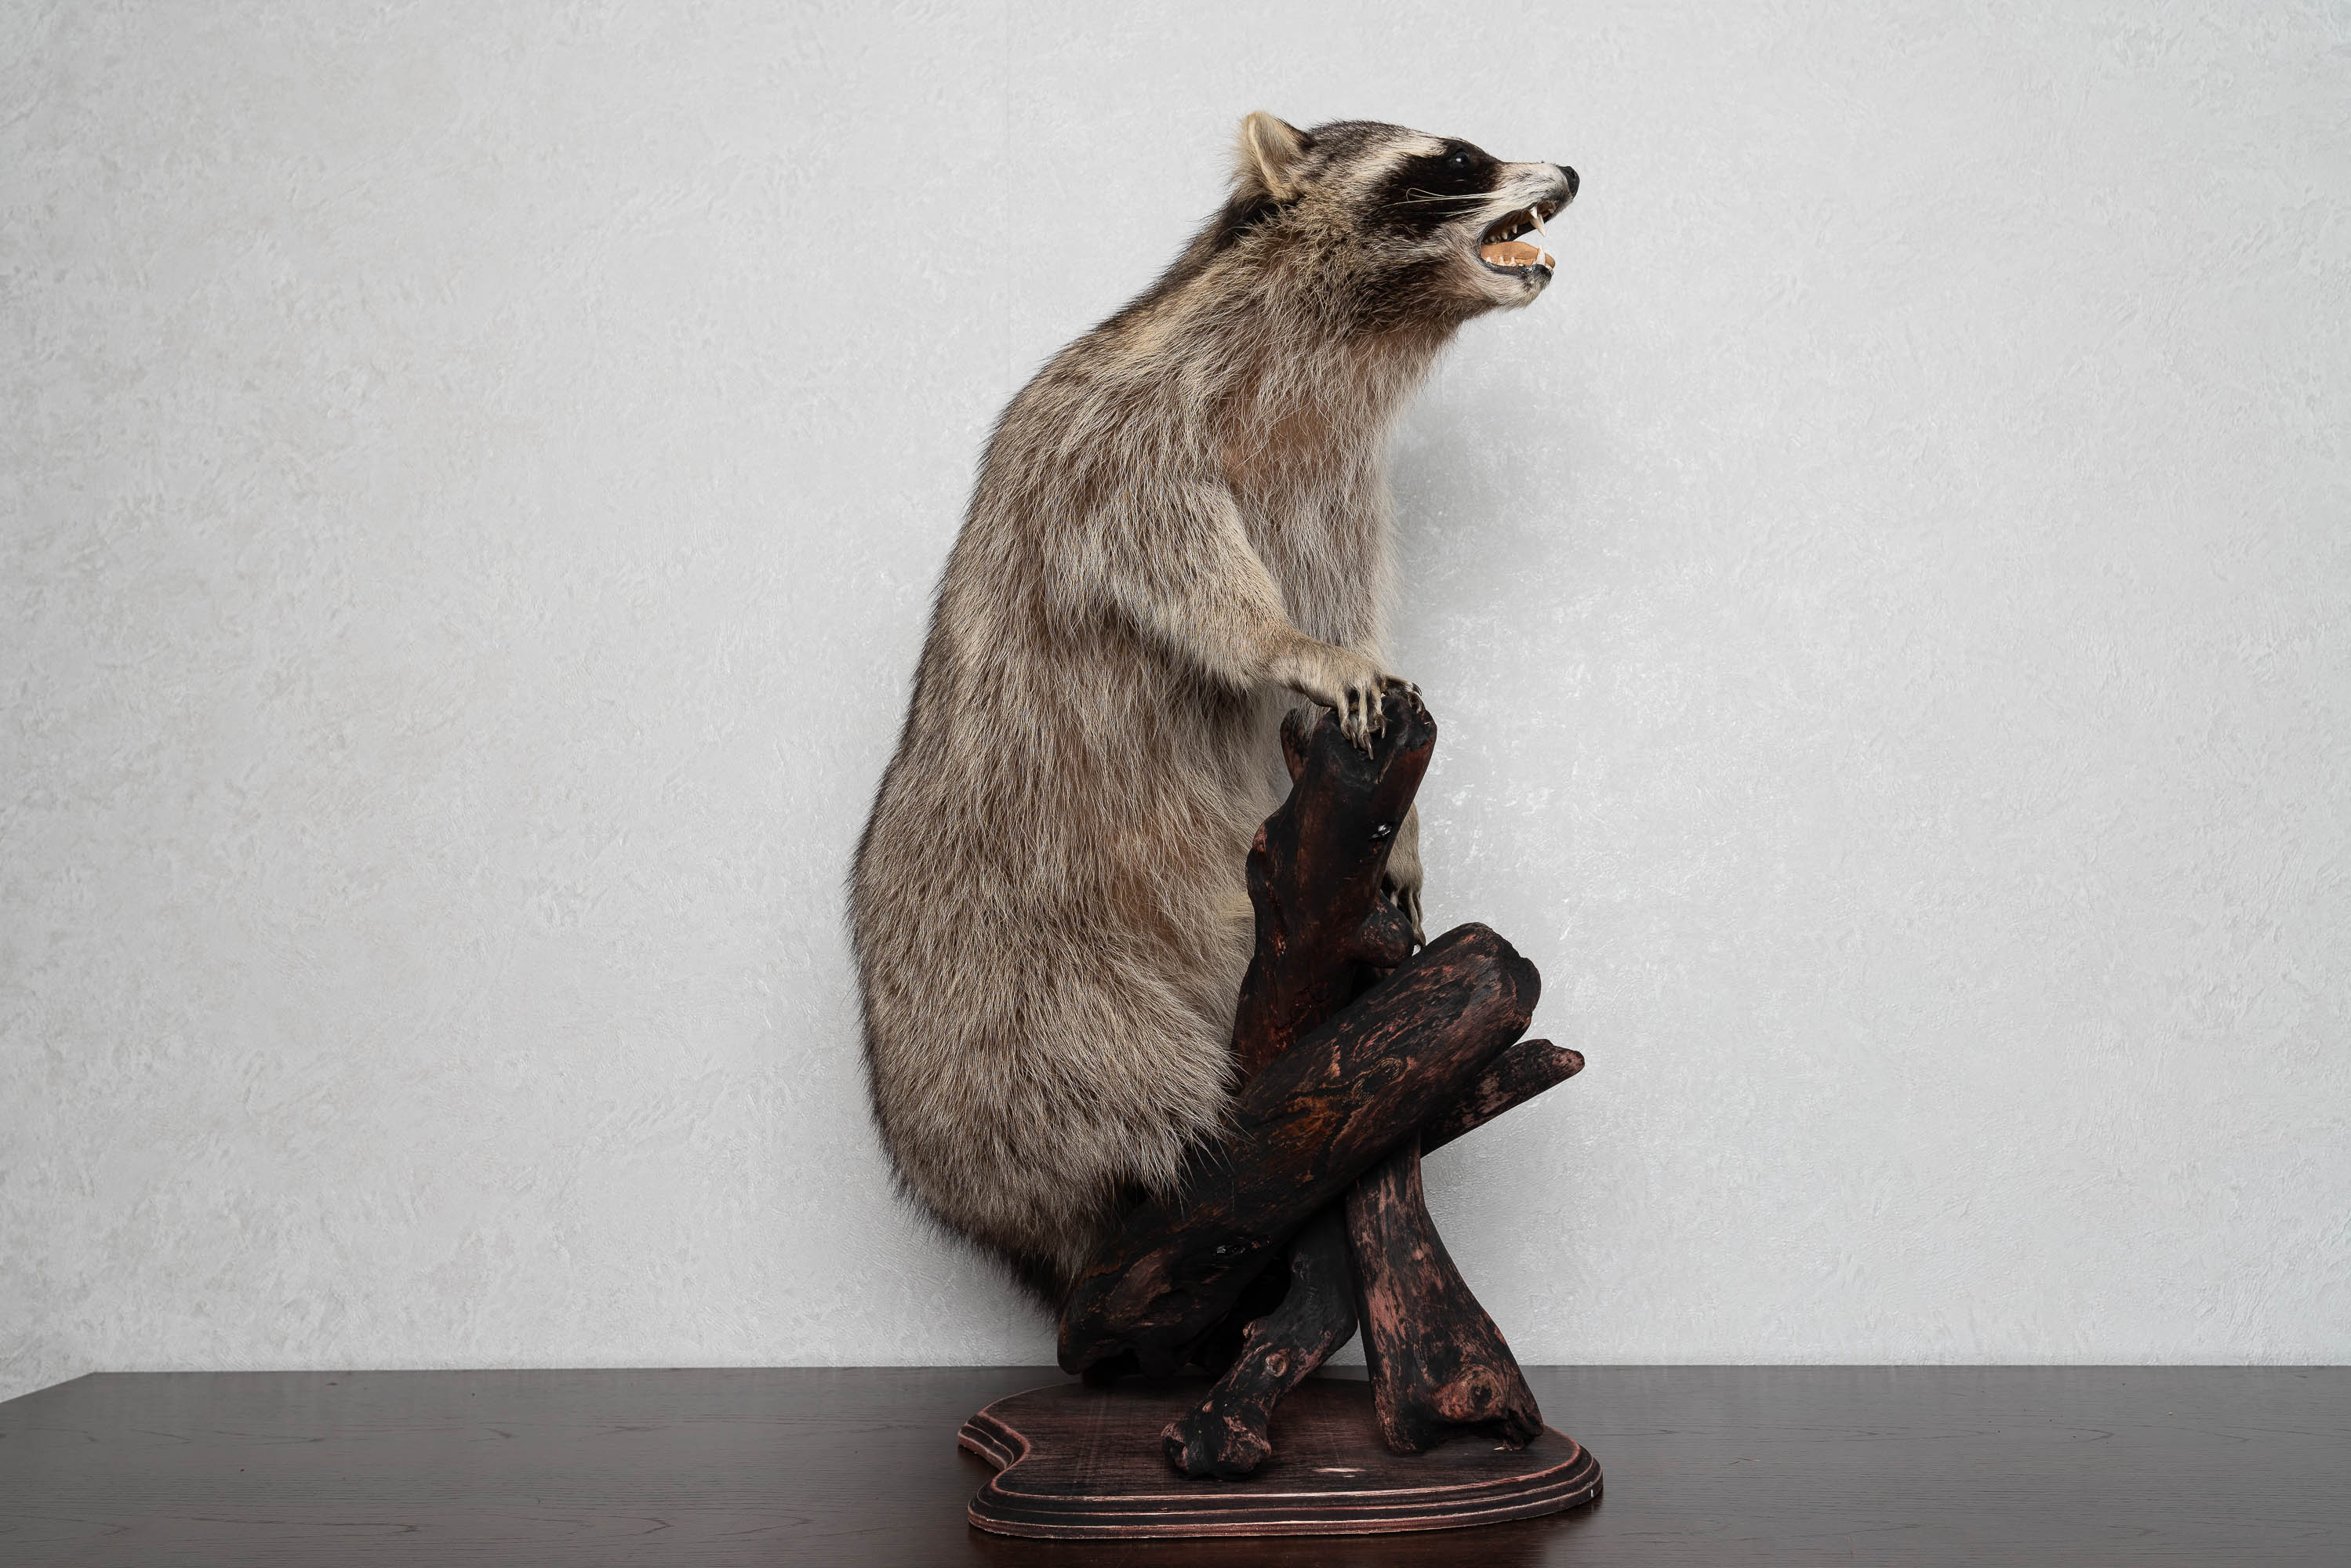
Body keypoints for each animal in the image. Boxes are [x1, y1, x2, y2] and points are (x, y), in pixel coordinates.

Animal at [852, 114, 1575, 1302]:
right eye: (1459, 159)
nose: (1570, 172)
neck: (1352, 340)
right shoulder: (1120, 427)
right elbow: (1164, 544)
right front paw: (1280, 643)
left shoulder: (1334, 488)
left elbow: (1343, 594)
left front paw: (1400, 812)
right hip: (1006, 988)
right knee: (1087, 1067)